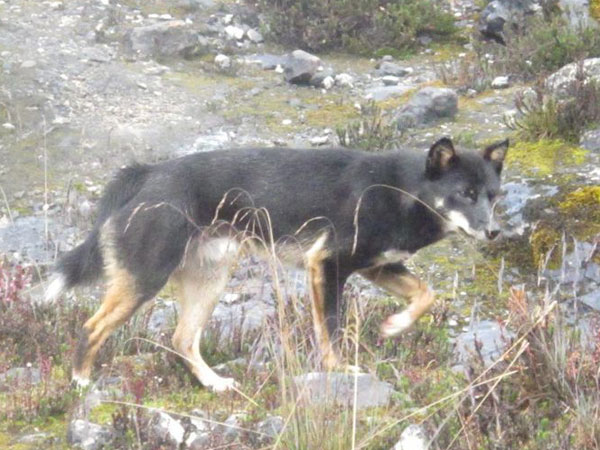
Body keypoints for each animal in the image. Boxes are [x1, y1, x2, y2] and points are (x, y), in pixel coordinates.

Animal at [44, 136, 508, 390]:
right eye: (465, 194)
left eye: (493, 195)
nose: (494, 233)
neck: (402, 189)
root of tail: (149, 172)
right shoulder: (328, 266)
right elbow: (331, 331)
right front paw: (339, 369)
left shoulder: (376, 266)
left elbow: (426, 294)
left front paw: (395, 325)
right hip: (146, 278)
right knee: (92, 327)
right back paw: (80, 382)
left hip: (209, 280)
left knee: (182, 339)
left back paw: (214, 384)